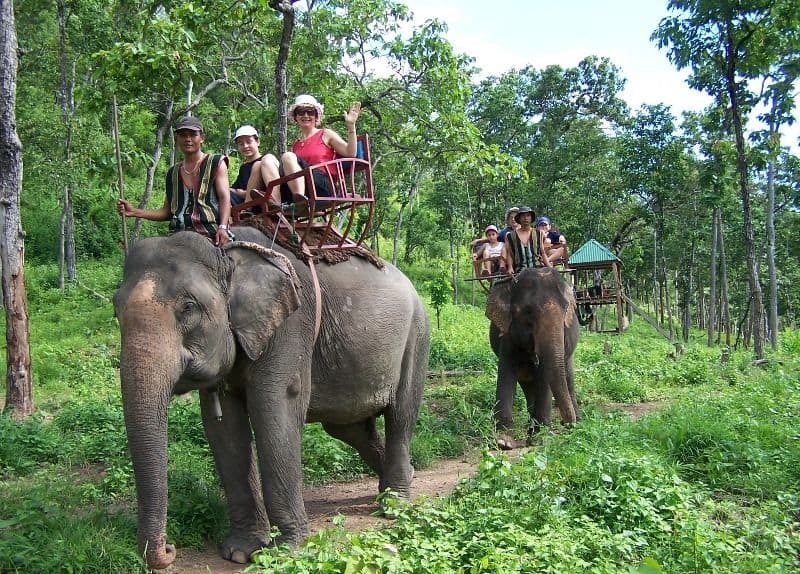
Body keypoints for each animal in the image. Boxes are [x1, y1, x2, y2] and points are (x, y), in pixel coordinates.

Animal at [112, 230, 432, 572]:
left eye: (188, 307)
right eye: (116, 312)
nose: (169, 550)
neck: (225, 253)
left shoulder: (291, 325)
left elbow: (274, 407)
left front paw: (284, 551)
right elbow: (224, 428)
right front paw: (239, 552)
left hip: (417, 336)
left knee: (400, 415)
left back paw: (395, 505)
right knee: (350, 429)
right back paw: (402, 479)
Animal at [484, 266, 580, 450]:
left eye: (565, 309)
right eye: (528, 311)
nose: (566, 423)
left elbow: (545, 376)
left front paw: (538, 440)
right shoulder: (508, 334)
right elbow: (506, 372)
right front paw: (503, 442)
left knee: (568, 378)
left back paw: (577, 423)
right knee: (528, 387)